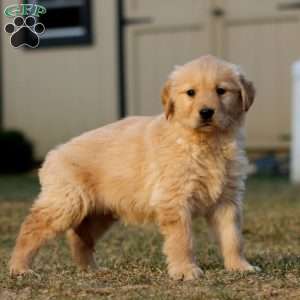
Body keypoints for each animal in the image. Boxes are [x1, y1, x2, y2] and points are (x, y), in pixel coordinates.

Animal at [8, 55, 258, 280]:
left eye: (221, 91)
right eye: (190, 93)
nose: (206, 112)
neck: (205, 142)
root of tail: (53, 153)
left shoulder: (227, 200)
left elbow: (233, 237)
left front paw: (239, 266)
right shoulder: (174, 200)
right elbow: (182, 239)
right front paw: (185, 270)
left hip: (101, 212)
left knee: (79, 236)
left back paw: (91, 269)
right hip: (66, 203)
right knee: (31, 228)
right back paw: (20, 267)